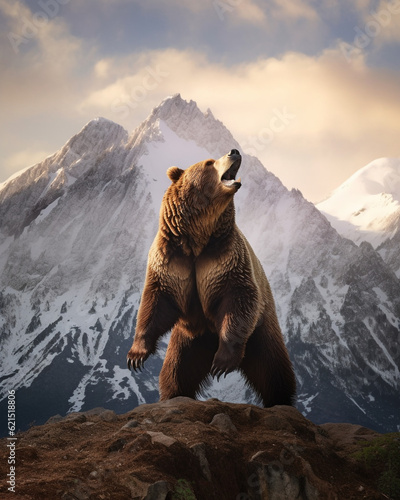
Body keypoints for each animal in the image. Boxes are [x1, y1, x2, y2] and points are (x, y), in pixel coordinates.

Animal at [128, 148, 296, 406]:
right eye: (209, 162)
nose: (234, 151)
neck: (197, 237)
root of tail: (207, 341)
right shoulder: (172, 260)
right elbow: (157, 301)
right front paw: (136, 356)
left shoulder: (225, 259)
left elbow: (238, 296)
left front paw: (222, 363)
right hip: (188, 340)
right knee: (176, 371)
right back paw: (173, 395)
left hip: (260, 330)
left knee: (272, 367)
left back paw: (280, 399)